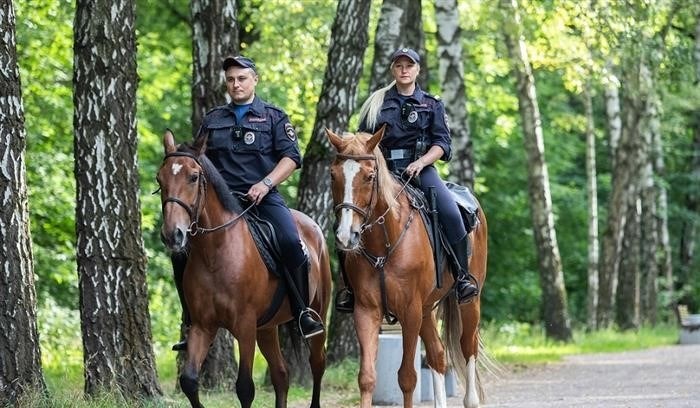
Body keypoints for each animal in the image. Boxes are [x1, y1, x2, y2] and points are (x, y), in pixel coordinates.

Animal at [157, 131, 332, 408]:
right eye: (159, 178)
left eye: (193, 177)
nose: (172, 235)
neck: (215, 253)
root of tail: (313, 227)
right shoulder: (203, 327)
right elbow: (189, 381)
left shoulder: (245, 326)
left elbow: (245, 388)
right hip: (267, 328)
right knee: (281, 374)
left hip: (317, 314)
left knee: (317, 364)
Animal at [326, 127, 486, 408]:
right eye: (333, 175)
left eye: (369, 176)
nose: (347, 235)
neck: (384, 244)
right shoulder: (366, 311)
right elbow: (366, 377)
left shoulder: (409, 311)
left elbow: (407, 377)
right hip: (427, 309)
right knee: (437, 354)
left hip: (468, 302)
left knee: (468, 346)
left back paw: (471, 400)